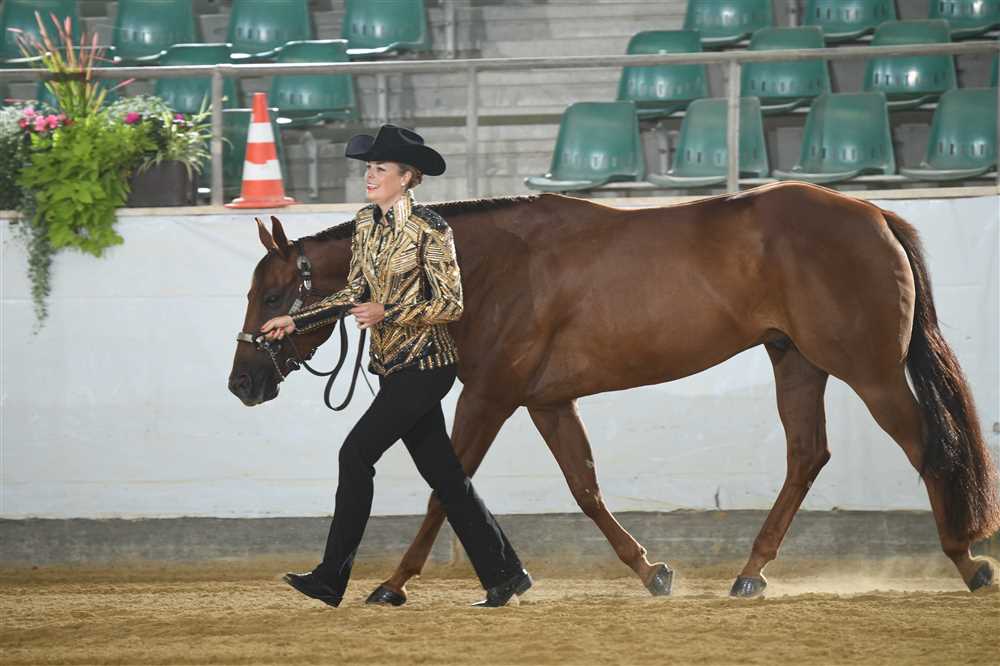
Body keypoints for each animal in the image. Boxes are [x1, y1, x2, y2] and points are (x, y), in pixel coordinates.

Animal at [229, 181, 999, 600]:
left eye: (270, 293)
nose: (242, 383)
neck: (485, 268)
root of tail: (873, 214)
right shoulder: (545, 401)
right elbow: (586, 487)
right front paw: (652, 572)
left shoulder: (490, 398)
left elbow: (445, 490)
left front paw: (392, 584)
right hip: (797, 361)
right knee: (808, 455)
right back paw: (750, 573)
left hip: (869, 370)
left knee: (929, 447)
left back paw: (968, 562)